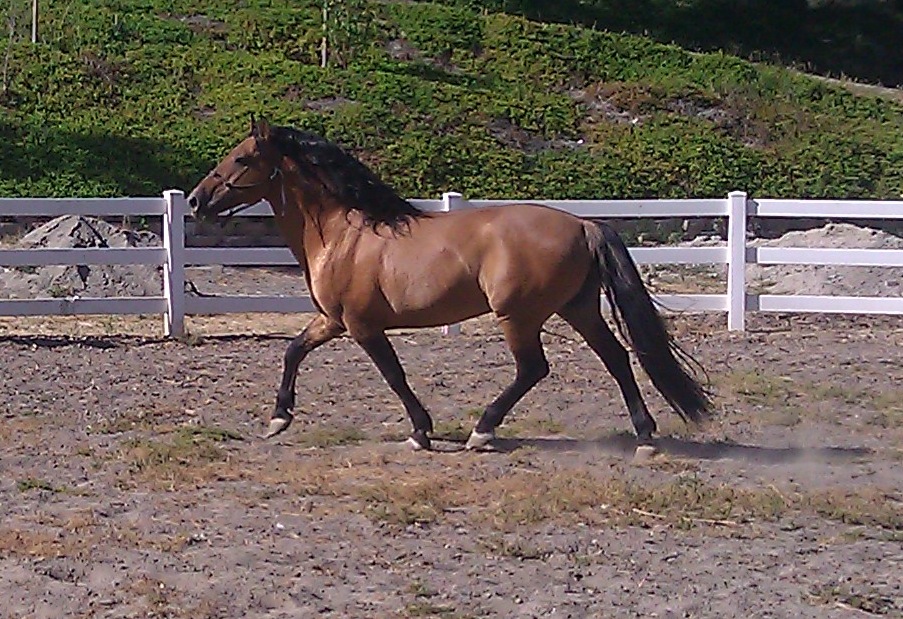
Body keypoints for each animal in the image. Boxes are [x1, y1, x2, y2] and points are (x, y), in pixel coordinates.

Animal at [186, 115, 713, 452]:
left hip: (518, 315)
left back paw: (483, 431)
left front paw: (421, 432)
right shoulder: (331, 321)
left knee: (534, 369)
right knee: (617, 359)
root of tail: (583, 224)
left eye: (242, 158)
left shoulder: (361, 326)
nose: (194, 200)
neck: (342, 234)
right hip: (577, 308)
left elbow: (394, 376)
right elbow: (293, 351)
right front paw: (278, 419)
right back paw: (644, 436)